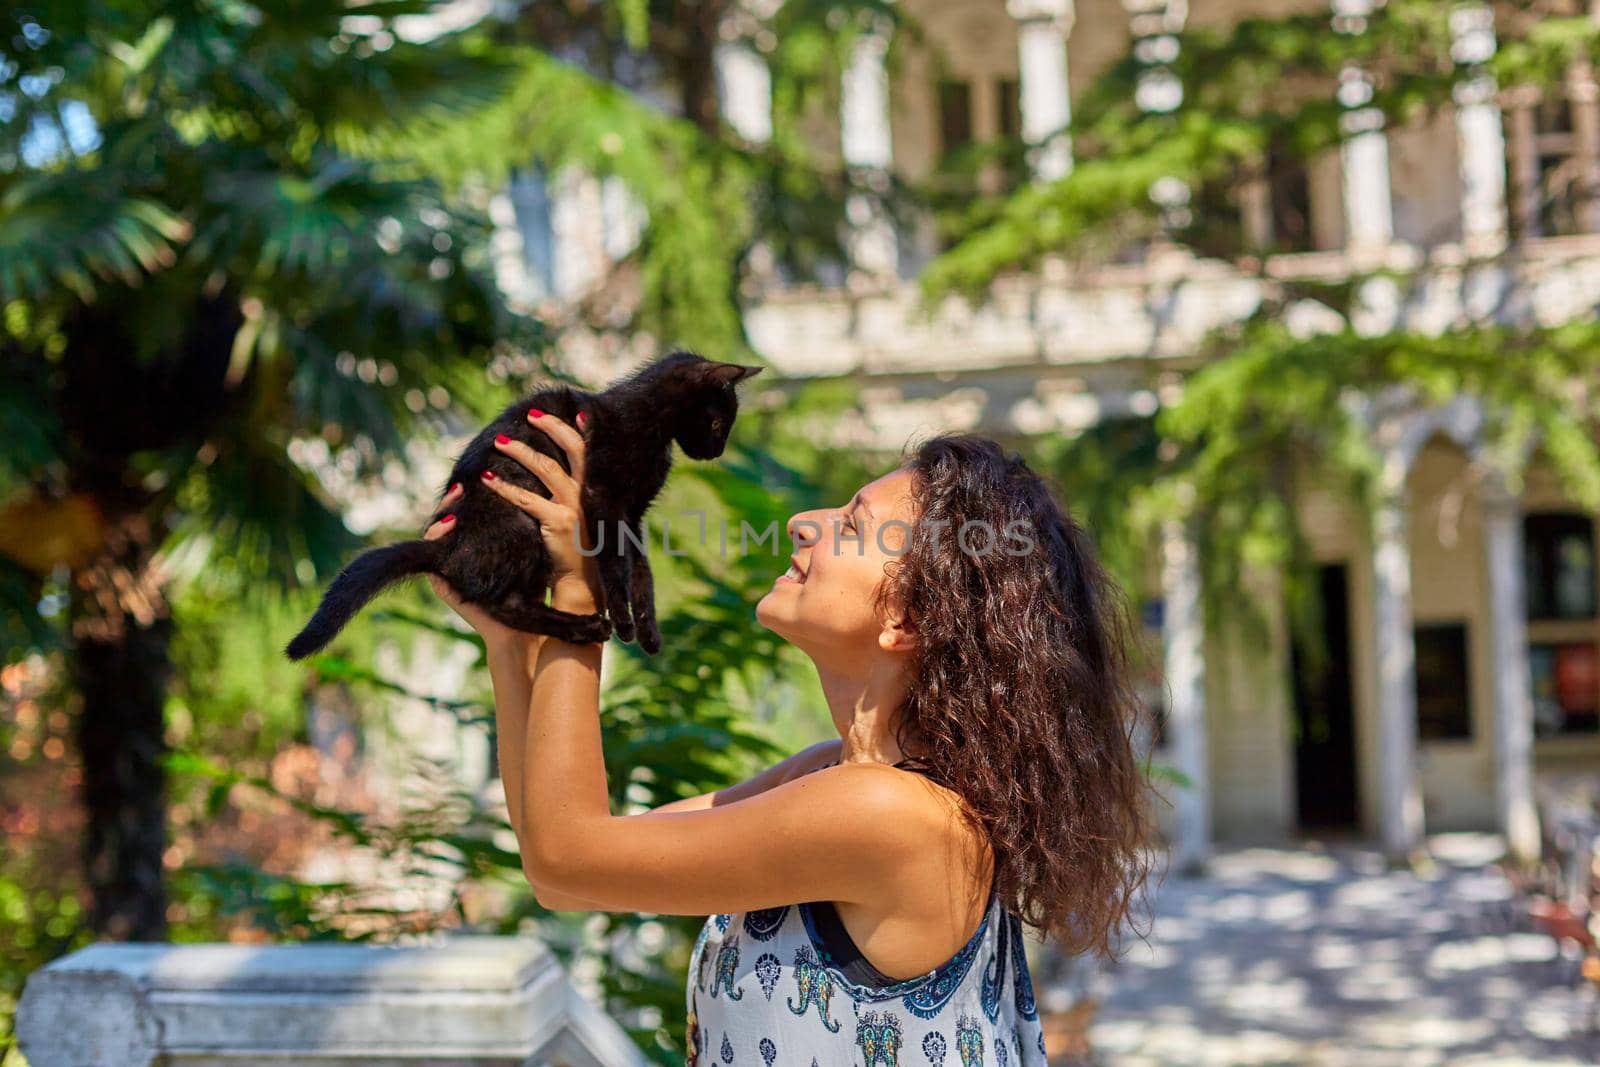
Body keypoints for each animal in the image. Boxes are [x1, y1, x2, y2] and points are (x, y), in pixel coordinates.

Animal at [283, 351, 761, 659]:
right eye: (717, 423)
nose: (718, 450)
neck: (650, 422)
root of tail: (449, 547)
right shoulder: (603, 498)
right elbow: (615, 565)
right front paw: (624, 619)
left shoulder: (633, 513)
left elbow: (641, 571)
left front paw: (647, 628)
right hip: (522, 528)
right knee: (505, 607)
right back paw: (586, 625)